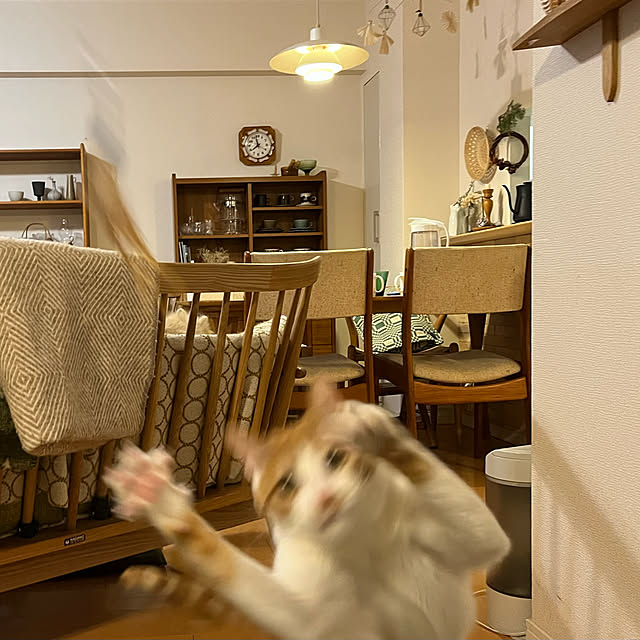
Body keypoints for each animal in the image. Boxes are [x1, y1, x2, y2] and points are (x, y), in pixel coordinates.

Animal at [105, 381, 510, 640]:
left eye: (335, 458)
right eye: (287, 484)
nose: (326, 498)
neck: (360, 543)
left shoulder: (468, 535)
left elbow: (480, 533)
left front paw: (371, 423)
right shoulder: (307, 614)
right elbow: (222, 559)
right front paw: (157, 494)